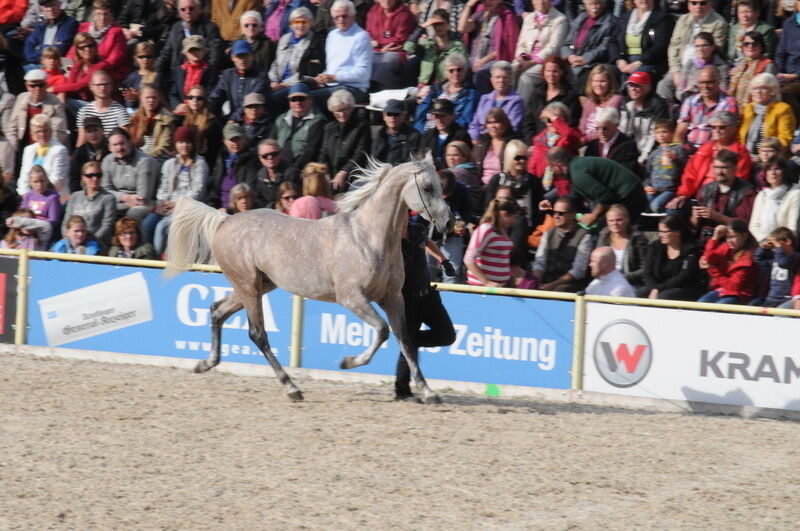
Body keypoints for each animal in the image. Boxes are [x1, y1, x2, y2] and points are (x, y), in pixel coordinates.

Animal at [166, 154, 454, 404]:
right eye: (427, 187)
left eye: (440, 186)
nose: (449, 223)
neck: (368, 238)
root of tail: (225, 220)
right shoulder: (352, 298)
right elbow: (382, 331)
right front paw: (348, 362)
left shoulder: (392, 299)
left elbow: (405, 340)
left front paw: (429, 392)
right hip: (247, 286)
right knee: (257, 334)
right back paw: (291, 387)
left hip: (257, 286)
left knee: (217, 311)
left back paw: (205, 364)